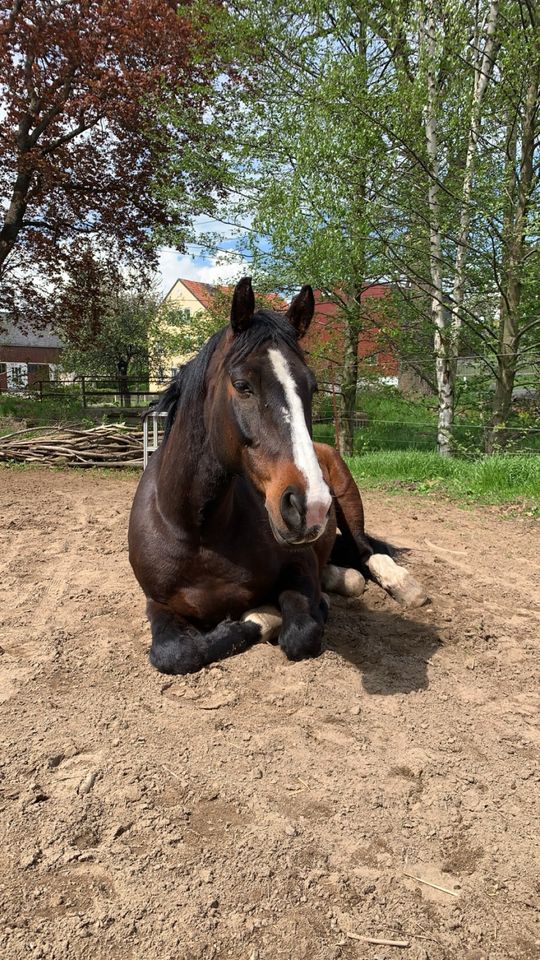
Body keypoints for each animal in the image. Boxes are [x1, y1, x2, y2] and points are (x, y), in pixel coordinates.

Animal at [129, 274, 428, 676]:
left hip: (349, 503)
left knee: (367, 553)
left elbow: (301, 633)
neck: (197, 531)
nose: (310, 506)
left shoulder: (298, 566)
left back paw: (401, 586)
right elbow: (175, 654)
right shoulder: (158, 604)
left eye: (312, 386)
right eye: (242, 386)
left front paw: (276, 614)